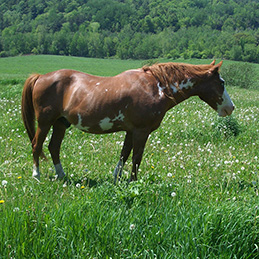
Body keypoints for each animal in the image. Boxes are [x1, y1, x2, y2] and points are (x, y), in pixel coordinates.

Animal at [21, 61, 235, 183]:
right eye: (222, 82)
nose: (230, 108)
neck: (156, 87)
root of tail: (41, 77)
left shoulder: (131, 131)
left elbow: (124, 154)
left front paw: (116, 178)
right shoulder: (141, 131)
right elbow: (136, 158)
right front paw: (133, 181)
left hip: (60, 123)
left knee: (53, 147)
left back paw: (62, 175)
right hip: (45, 122)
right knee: (37, 145)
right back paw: (36, 175)